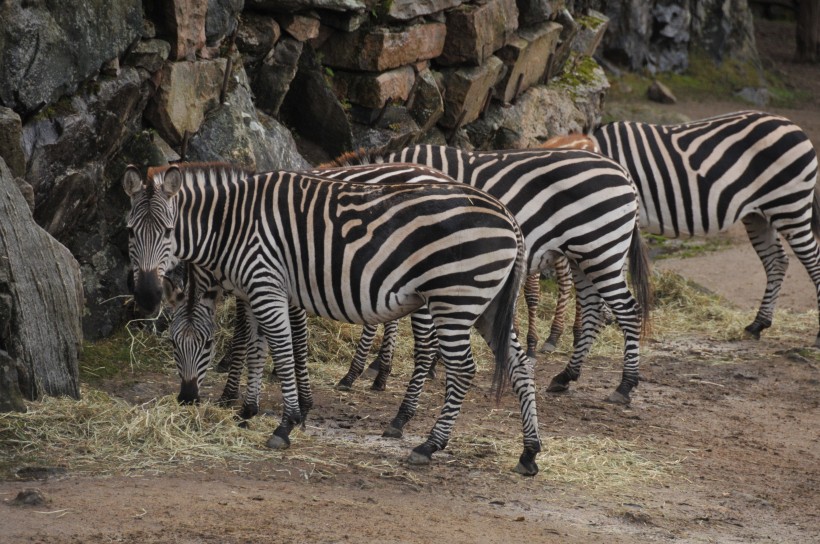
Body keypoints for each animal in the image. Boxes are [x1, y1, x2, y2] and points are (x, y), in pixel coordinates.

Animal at [123, 163, 544, 476]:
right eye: (129, 232)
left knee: (461, 368)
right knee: (520, 364)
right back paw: (529, 452)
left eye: (169, 231)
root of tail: (507, 214)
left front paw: (287, 421)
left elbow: (283, 348)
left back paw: (427, 443)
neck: (232, 224)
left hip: (455, 298)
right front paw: (247, 410)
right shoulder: (257, 289)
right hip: (487, 303)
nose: (146, 296)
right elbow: (257, 347)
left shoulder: (269, 286)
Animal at [588, 111, 820, 344]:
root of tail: (791, 124)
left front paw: (605, 317)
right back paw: (758, 324)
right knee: (777, 261)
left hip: (789, 205)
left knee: (812, 260)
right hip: (758, 215)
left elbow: (613, 270)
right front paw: (607, 317)